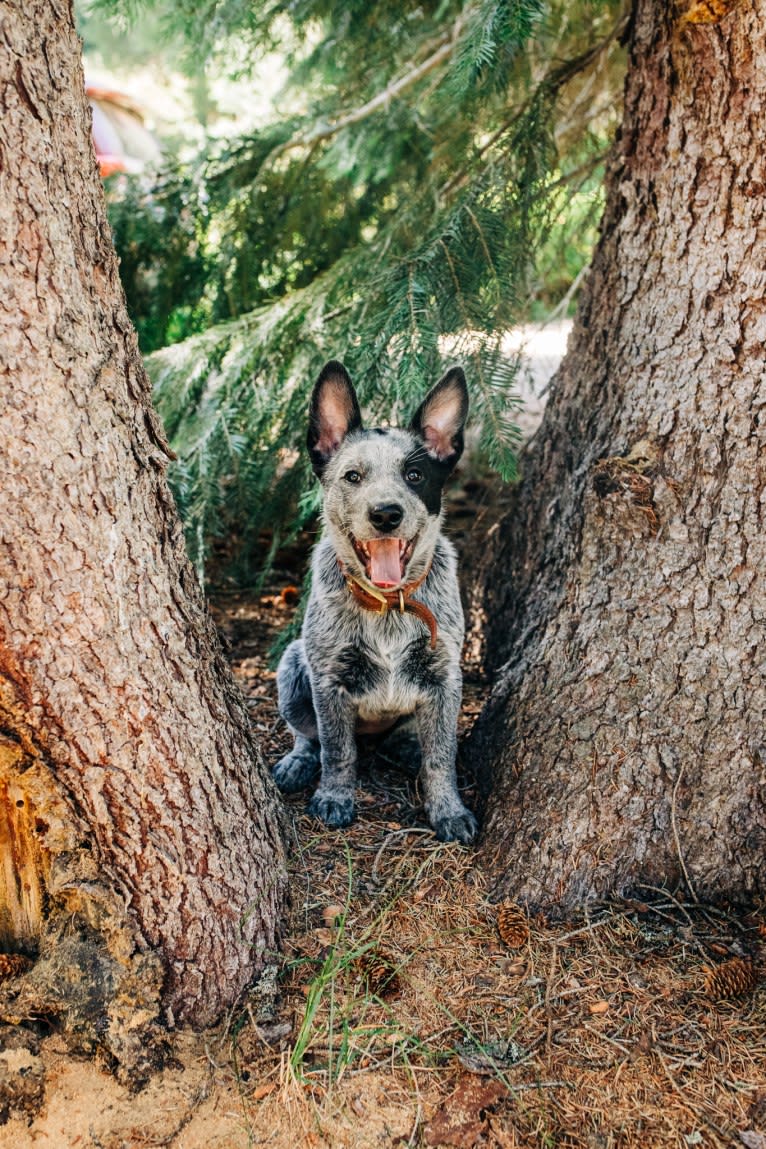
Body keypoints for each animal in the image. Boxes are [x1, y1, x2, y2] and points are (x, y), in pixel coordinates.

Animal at [272, 363, 480, 850]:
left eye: (416, 475)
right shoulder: (329, 680)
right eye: (352, 476)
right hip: (292, 668)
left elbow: (442, 756)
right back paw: (298, 761)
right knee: (307, 736)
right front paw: (333, 797)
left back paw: (406, 746)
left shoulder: (445, 678)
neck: (389, 604)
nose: (386, 514)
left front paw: (449, 810)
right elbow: (337, 750)